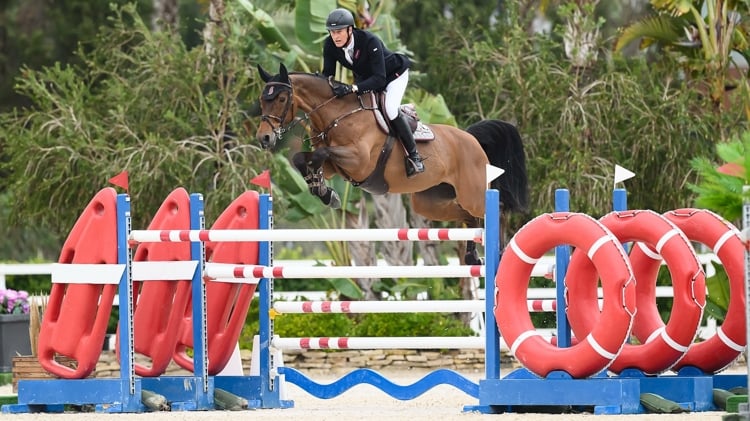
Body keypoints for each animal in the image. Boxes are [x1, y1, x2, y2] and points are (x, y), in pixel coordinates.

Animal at [256, 62, 532, 262]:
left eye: (281, 99)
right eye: (261, 100)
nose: (264, 138)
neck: (337, 115)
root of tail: (471, 138)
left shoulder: (358, 161)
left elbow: (320, 155)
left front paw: (324, 191)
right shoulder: (337, 166)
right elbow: (303, 158)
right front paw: (322, 190)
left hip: (472, 194)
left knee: (498, 209)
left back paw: (501, 251)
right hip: (429, 202)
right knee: (467, 216)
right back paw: (473, 255)